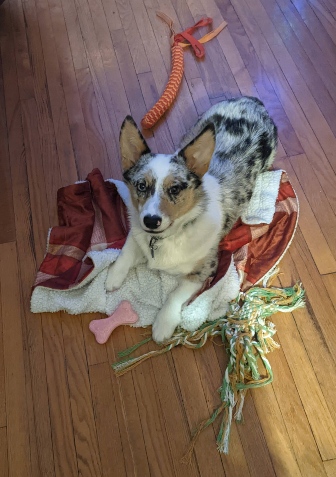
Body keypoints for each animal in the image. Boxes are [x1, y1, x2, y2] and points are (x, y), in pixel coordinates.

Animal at [106, 96, 276, 342]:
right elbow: (127, 250)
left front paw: (163, 325)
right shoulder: (137, 232)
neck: (167, 237)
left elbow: (175, 295)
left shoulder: (204, 270)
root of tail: (253, 101)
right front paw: (113, 277)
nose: (151, 221)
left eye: (175, 189)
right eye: (141, 186)